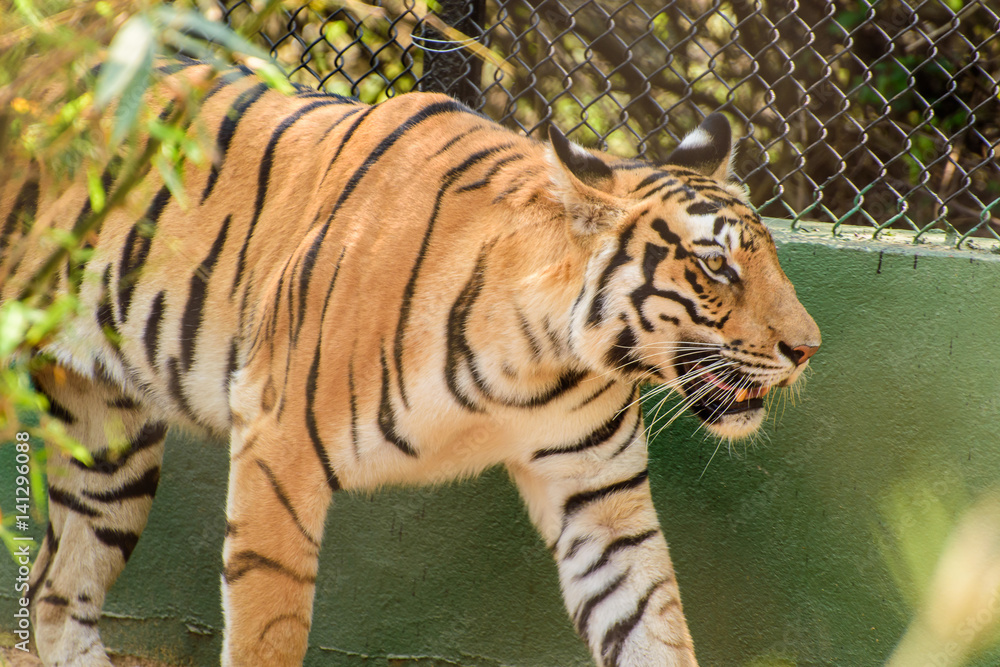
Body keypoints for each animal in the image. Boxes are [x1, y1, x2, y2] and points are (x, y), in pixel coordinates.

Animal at [0, 59, 820, 667]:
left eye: (768, 255)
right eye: (716, 266)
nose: (807, 347)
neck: (542, 362)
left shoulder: (600, 494)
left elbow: (650, 621)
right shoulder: (276, 448)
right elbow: (270, 627)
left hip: (110, 448)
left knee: (56, 594)